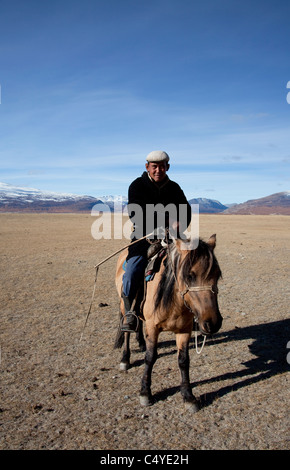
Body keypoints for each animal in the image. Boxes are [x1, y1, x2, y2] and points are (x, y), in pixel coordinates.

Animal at [114, 235, 222, 412]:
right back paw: (125, 359)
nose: (212, 323)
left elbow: (183, 360)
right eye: (190, 275)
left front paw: (188, 396)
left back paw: (141, 343)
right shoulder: (153, 327)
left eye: (218, 274)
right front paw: (145, 393)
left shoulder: (184, 330)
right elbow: (150, 357)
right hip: (124, 306)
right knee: (127, 330)